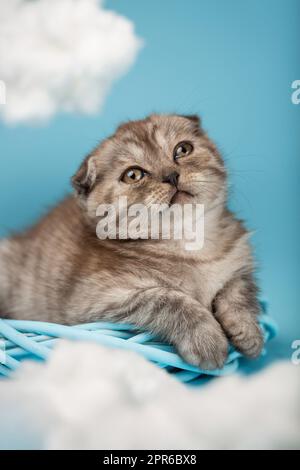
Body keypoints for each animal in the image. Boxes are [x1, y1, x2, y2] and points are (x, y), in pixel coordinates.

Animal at [0, 114, 262, 370]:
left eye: (182, 149)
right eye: (133, 175)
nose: (171, 175)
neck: (189, 241)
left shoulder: (239, 261)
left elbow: (239, 290)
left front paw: (248, 332)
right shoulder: (93, 300)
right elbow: (167, 299)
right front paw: (206, 339)